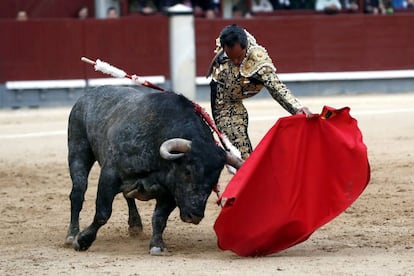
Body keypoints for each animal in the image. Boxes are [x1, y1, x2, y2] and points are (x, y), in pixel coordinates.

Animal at [64, 86, 243, 254]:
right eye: (188, 172)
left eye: (215, 181)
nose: (195, 216)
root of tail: (88, 95)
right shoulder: (110, 175)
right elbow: (102, 213)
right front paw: (82, 240)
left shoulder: (171, 192)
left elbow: (159, 218)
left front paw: (157, 245)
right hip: (78, 150)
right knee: (78, 193)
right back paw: (71, 235)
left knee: (127, 195)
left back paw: (135, 225)